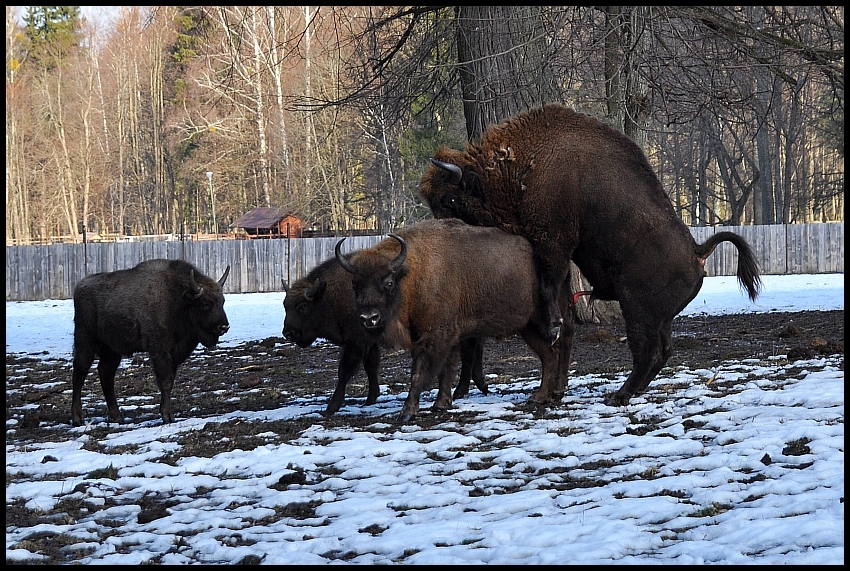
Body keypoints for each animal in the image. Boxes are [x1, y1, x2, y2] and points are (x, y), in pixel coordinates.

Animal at [70, 258, 230, 424]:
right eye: (206, 303)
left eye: (222, 301)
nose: (224, 326)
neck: (177, 299)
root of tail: (79, 286)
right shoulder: (159, 350)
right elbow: (165, 382)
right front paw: (167, 416)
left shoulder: (172, 355)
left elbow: (170, 381)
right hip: (85, 342)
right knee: (79, 372)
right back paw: (77, 418)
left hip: (112, 351)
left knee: (105, 374)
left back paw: (118, 417)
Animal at [282, 260, 486, 416]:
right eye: (285, 305)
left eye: (302, 307)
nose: (287, 332)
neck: (329, 295)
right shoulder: (369, 344)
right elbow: (371, 367)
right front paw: (371, 398)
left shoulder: (356, 342)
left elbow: (344, 372)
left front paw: (331, 407)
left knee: (469, 353)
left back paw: (465, 389)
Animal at [334, 219, 568, 424]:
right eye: (355, 284)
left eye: (388, 282)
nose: (369, 318)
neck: (412, 275)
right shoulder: (446, 338)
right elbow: (446, 370)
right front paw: (441, 404)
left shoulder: (434, 337)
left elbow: (420, 373)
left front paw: (407, 413)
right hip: (527, 327)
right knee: (549, 353)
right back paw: (539, 397)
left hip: (541, 321)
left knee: (554, 349)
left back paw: (543, 396)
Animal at [420, 103, 760, 406]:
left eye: (450, 199)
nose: (444, 235)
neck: (519, 164)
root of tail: (697, 250)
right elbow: (564, 308)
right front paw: (556, 385)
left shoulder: (554, 242)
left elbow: (550, 292)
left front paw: (551, 332)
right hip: (659, 317)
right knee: (663, 351)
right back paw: (630, 391)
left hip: (636, 308)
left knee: (646, 351)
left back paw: (619, 395)